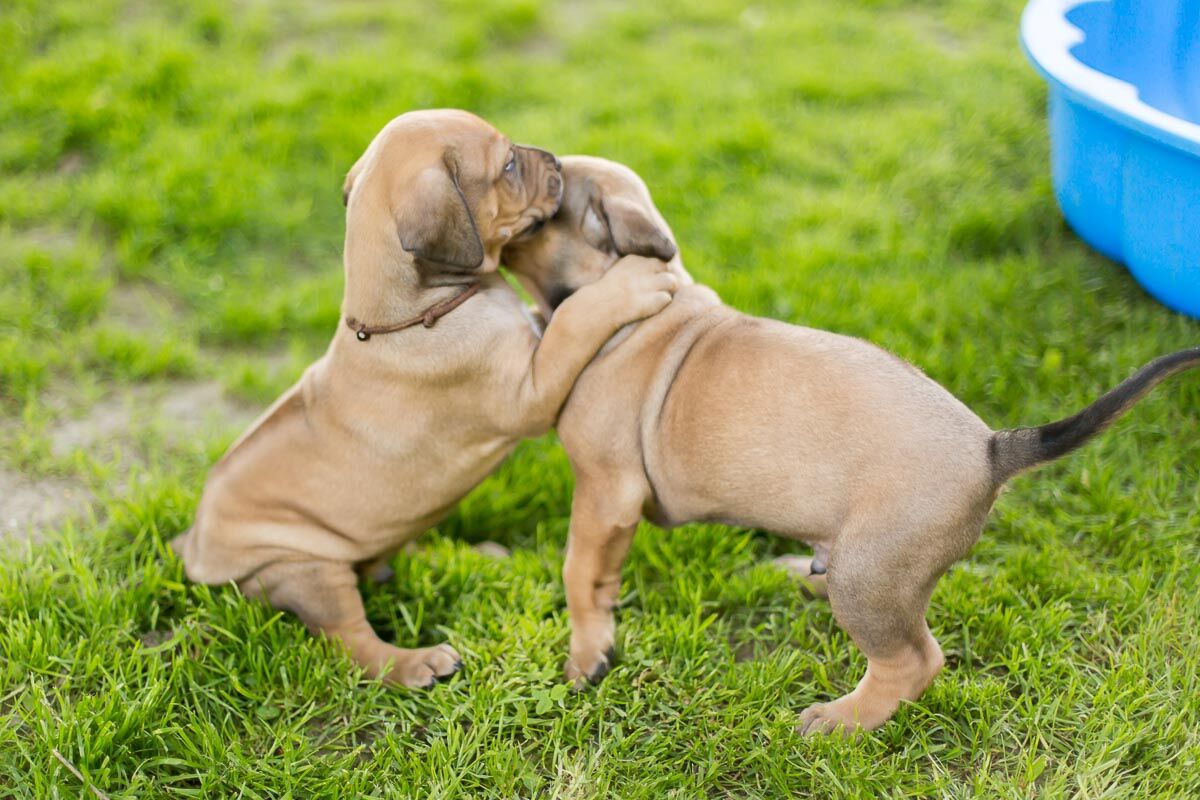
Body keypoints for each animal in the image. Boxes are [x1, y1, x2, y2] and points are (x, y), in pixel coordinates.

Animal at [172, 113, 678, 688]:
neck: (414, 308)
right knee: (351, 642)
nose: (552, 159)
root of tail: (193, 547)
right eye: (508, 165)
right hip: (303, 568)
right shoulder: (529, 391)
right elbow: (575, 320)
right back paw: (420, 663)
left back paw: (469, 556)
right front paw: (632, 284)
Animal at [502, 155, 1200, 735]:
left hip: (870, 575)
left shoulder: (604, 492)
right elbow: (599, 574)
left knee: (915, 659)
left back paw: (844, 720)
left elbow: (577, 570)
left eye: (553, 190)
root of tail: (992, 449)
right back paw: (794, 574)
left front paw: (586, 650)